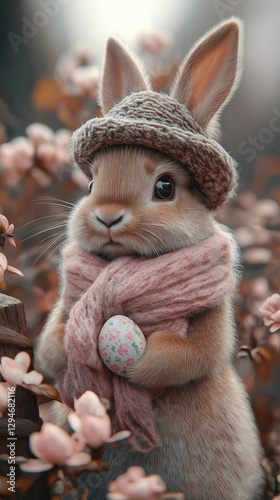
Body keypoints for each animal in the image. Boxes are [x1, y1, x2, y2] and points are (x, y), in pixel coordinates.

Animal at [36, 18, 264, 500]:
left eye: (165, 187)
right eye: (90, 184)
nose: (107, 216)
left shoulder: (212, 312)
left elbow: (196, 352)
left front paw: (137, 367)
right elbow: (49, 344)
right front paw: (69, 347)